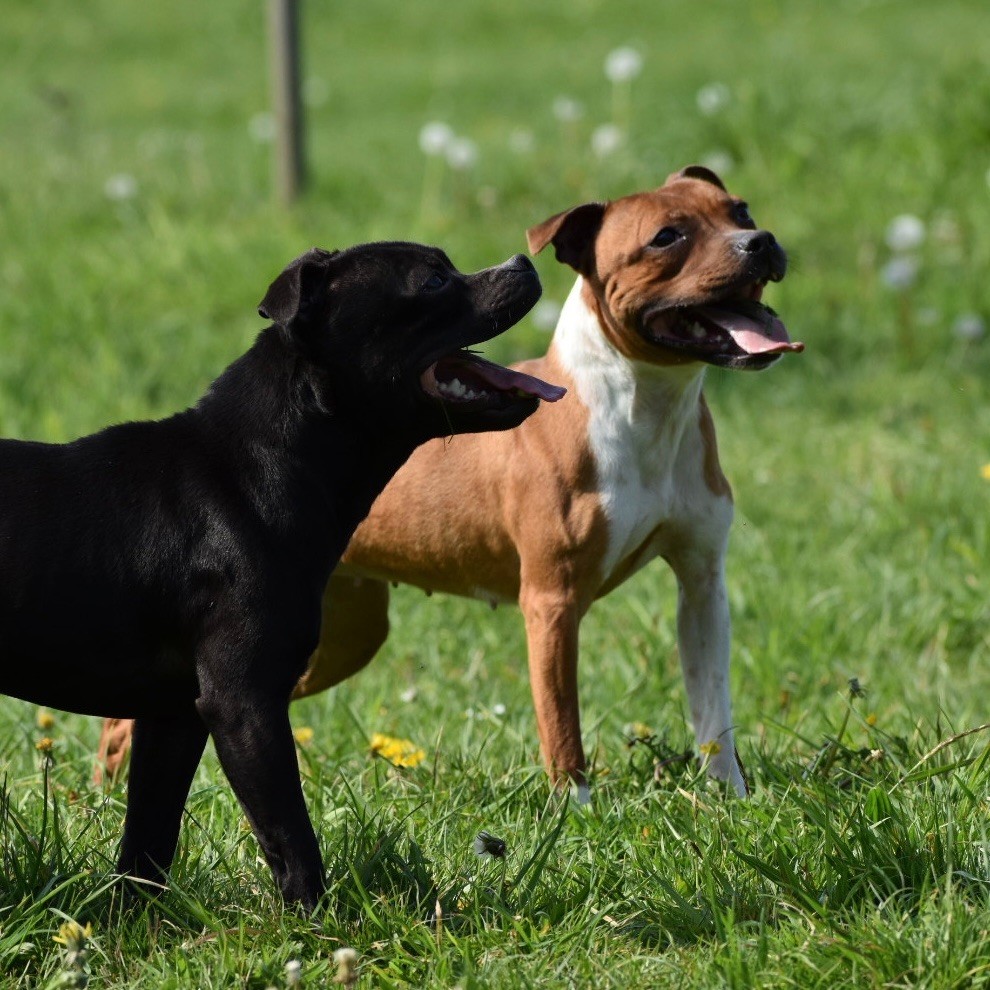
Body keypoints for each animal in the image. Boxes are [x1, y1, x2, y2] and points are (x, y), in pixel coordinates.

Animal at [0, 244, 560, 912]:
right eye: (431, 280)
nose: (523, 261)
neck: (263, 464)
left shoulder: (173, 715)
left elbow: (149, 838)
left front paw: (130, 921)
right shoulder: (244, 703)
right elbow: (290, 834)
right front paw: (318, 922)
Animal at [97, 170, 804, 804]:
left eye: (739, 210)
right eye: (666, 237)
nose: (761, 241)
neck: (644, 404)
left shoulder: (701, 582)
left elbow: (713, 708)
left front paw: (731, 799)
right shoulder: (552, 602)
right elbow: (562, 726)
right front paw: (575, 812)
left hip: (340, 635)